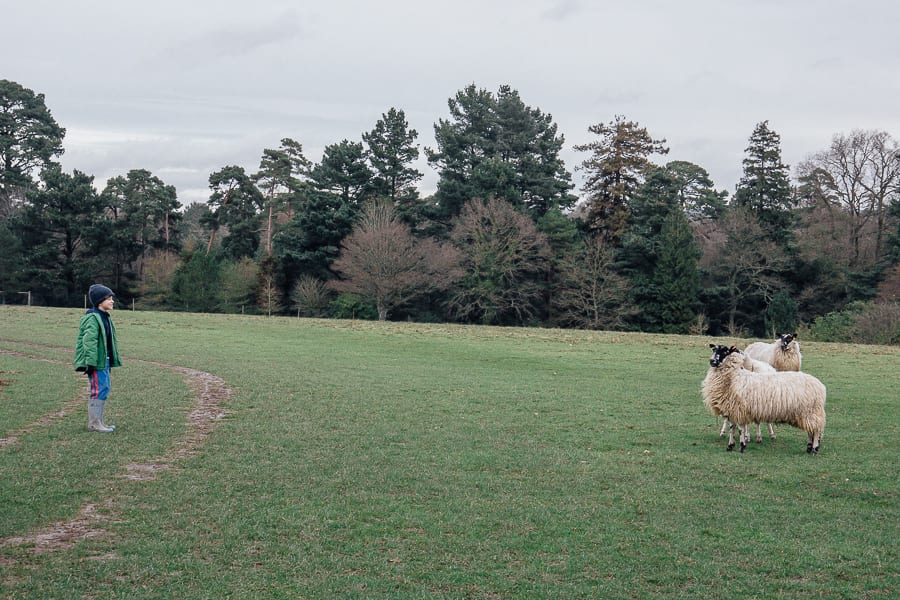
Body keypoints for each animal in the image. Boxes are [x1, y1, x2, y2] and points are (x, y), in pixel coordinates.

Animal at [700, 344, 828, 452]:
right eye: (714, 349)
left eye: (725, 351)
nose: (712, 361)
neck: (734, 377)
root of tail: (820, 386)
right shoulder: (732, 410)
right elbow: (732, 427)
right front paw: (730, 446)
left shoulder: (740, 409)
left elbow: (740, 429)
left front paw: (742, 446)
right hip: (808, 414)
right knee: (811, 430)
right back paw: (809, 447)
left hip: (811, 411)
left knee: (816, 430)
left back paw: (815, 449)